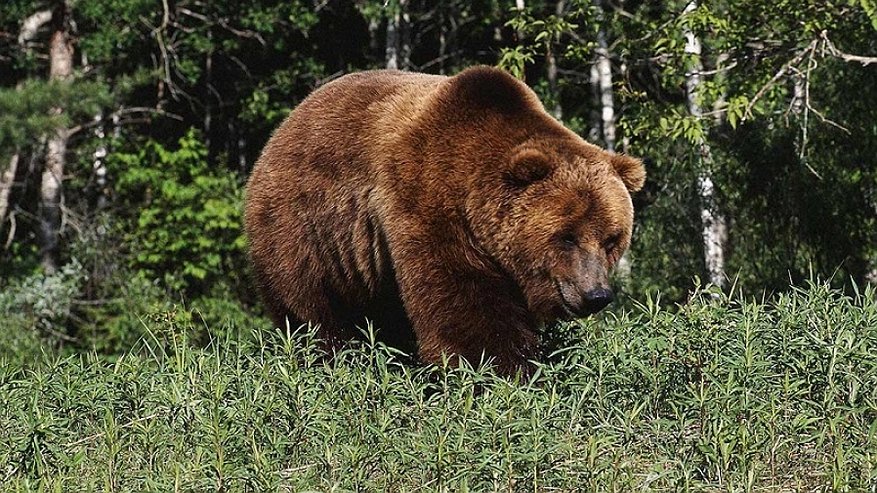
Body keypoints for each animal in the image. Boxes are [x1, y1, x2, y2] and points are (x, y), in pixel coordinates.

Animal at [245, 65, 644, 376]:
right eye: (566, 236)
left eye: (612, 239)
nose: (596, 295)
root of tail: (281, 129)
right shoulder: (428, 203)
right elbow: (463, 304)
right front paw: (499, 370)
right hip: (305, 230)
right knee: (312, 309)